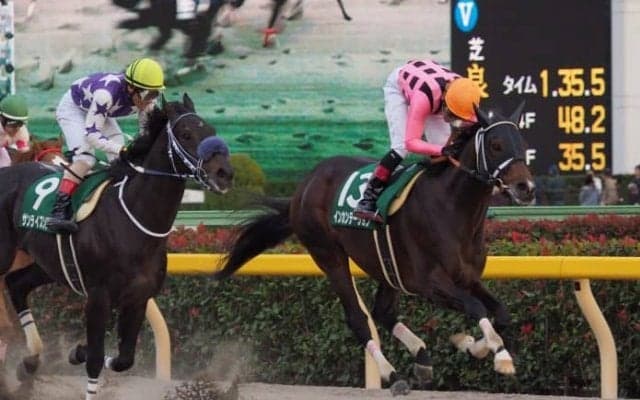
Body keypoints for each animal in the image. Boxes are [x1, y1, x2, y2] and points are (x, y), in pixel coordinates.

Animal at [0, 93, 234, 399]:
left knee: (17, 285)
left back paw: (29, 363)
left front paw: (78, 351)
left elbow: (124, 359)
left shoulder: (138, 297)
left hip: (46, 264)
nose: (225, 173)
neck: (133, 221)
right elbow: (96, 360)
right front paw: (86, 357)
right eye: (186, 134)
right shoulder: (98, 296)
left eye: (213, 130)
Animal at [213, 104, 535, 393]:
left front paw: (472, 346)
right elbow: (475, 307)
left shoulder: (467, 278)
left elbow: (501, 313)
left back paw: (421, 356)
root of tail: (305, 185)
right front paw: (499, 355)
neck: (452, 210)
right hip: (329, 255)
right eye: (495, 145)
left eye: (522, 143)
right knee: (358, 318)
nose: (526, 187)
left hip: (387, 267)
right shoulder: (430, 282)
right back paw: (393, 375)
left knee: (382, 312)